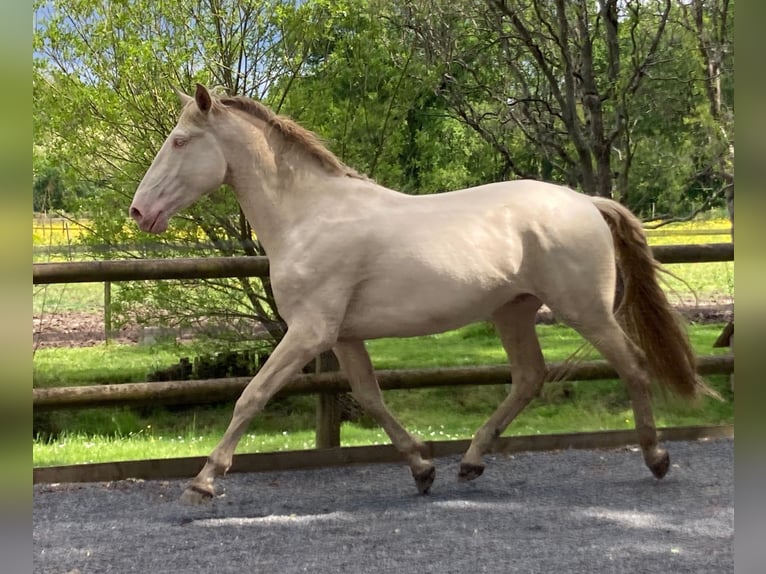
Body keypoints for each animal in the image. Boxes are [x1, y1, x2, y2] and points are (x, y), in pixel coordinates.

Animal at [130, 83, 712, 506]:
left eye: (179, 141)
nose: (139, 212)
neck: (309, 217)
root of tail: (586, 201)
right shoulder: (341, 337)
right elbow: (369, 398)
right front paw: (422, 468)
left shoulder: (308, 332)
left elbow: (251, 396)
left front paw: (202, 481)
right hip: (513, 312)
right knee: (529, 378)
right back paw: (470, 462)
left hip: (583, 309)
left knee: (632, 365)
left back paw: (656, 458)